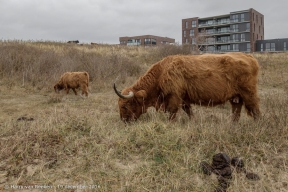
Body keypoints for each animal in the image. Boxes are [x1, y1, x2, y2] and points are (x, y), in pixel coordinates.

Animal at [113, 51, 260, 122]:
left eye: (125, 106)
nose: (123, 121)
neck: (162, 72)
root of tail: (249, 57)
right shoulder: (184, 99)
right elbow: (189, 111)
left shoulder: (174, 97)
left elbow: (172, 113)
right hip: (236, 97)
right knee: (236, 111)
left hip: (248, 94)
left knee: (255, 110)